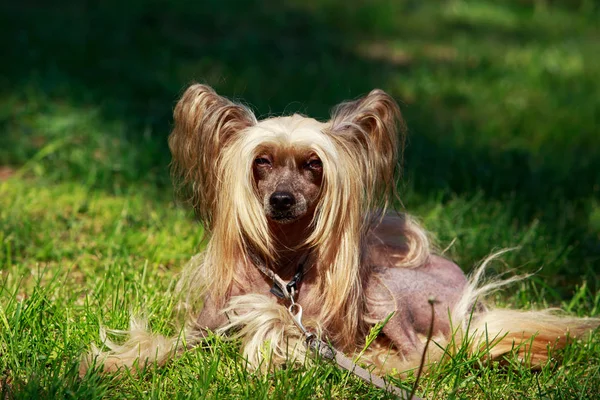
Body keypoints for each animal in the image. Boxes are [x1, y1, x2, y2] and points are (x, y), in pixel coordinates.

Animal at [81, 83, 600, 382]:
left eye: (314, 165)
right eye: (260, 162)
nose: (281, 200)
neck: (283, 268)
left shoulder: (316, 326)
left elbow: (281, 334)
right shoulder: (202, 329)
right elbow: (161, 345)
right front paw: (109, 364)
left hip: (384, 292)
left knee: (423, 354)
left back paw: (379, 361)